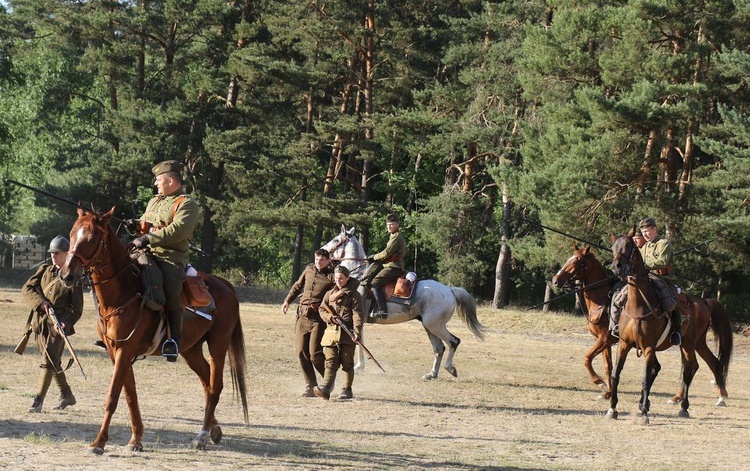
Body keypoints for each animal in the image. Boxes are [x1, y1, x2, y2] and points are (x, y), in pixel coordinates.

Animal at [61, 208, 250, 456]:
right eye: (72, 234)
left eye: (92, 239)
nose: (66, 275)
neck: (123, 293)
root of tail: (225, 285)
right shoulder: (115, 352)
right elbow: (130, 394)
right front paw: (136, 439)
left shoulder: (124, 350)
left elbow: (113, 396)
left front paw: (99, 442)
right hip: (191, 350)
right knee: (207, 383)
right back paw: (214, 431)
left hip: (218, 345)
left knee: (215, 385)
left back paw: (201, 436)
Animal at [318, 225, 484, 380]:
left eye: (336, 240)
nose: (321, 252)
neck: (356, 277)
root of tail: (449, 290)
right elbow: (359, 340)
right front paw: (360, 366)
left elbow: (358, 341)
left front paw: (359, 367)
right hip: (429, 326)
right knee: (439, 348)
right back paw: (431, 374)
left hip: (435, 326)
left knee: (453, 342)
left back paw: (450, 368)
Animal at [556, 243, 732, 406]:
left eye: (577, 261)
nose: (556, 280)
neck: (602, 298)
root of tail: (703, 301)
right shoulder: (606, 340)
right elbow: (608, 365)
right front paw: (607, 392)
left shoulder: (605, 338)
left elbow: (587, 358)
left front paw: (600, 383)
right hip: (698, 342)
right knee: (708, 363)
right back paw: (691, 397)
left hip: (689, 342)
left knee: (694, 365)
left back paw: (713, 397)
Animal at [612, 232, 736, 424]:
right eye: (613, 247)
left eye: (628, 245)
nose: (616, 267)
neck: (637, 305)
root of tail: (703, 301)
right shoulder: (624, 344)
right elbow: (616, 374)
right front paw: (613, 408)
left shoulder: (648, 347)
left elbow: (645, 378)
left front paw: (644, 414)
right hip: (698, 343)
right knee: (709, 363)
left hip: (688, 343)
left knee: (689, 369)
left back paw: (684, 406)